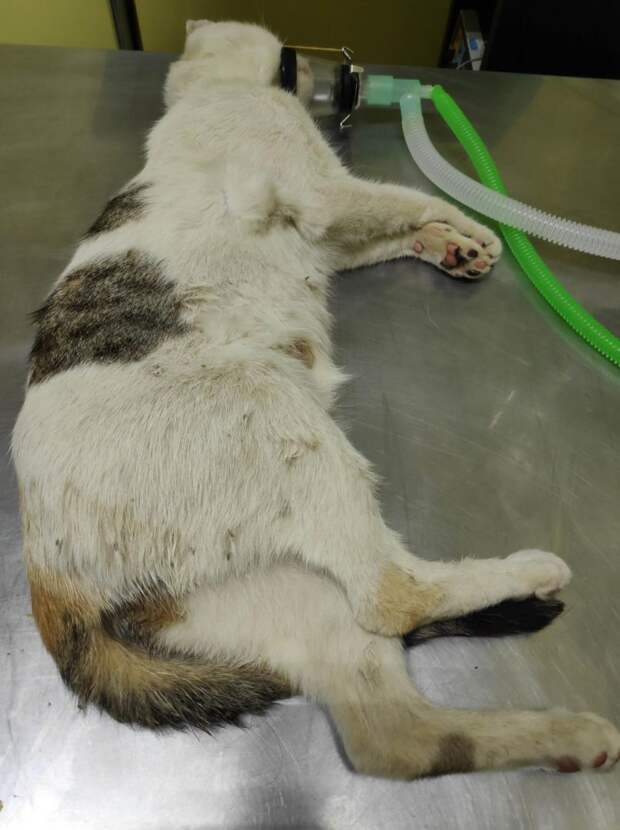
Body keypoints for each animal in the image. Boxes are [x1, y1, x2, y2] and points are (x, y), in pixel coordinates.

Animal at [12, 20, 619, 779]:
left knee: (395, 736)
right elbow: (401, 196)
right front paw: (471, 226)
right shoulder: (325, 192)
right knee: (392, 595)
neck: (212, 91)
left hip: (286, 595)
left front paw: (447, 247)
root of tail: (50, 582)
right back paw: (528, 573)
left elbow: (384, 230)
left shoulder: (329, 236)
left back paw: (575, 736)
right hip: (275, 411)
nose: (353, 76)